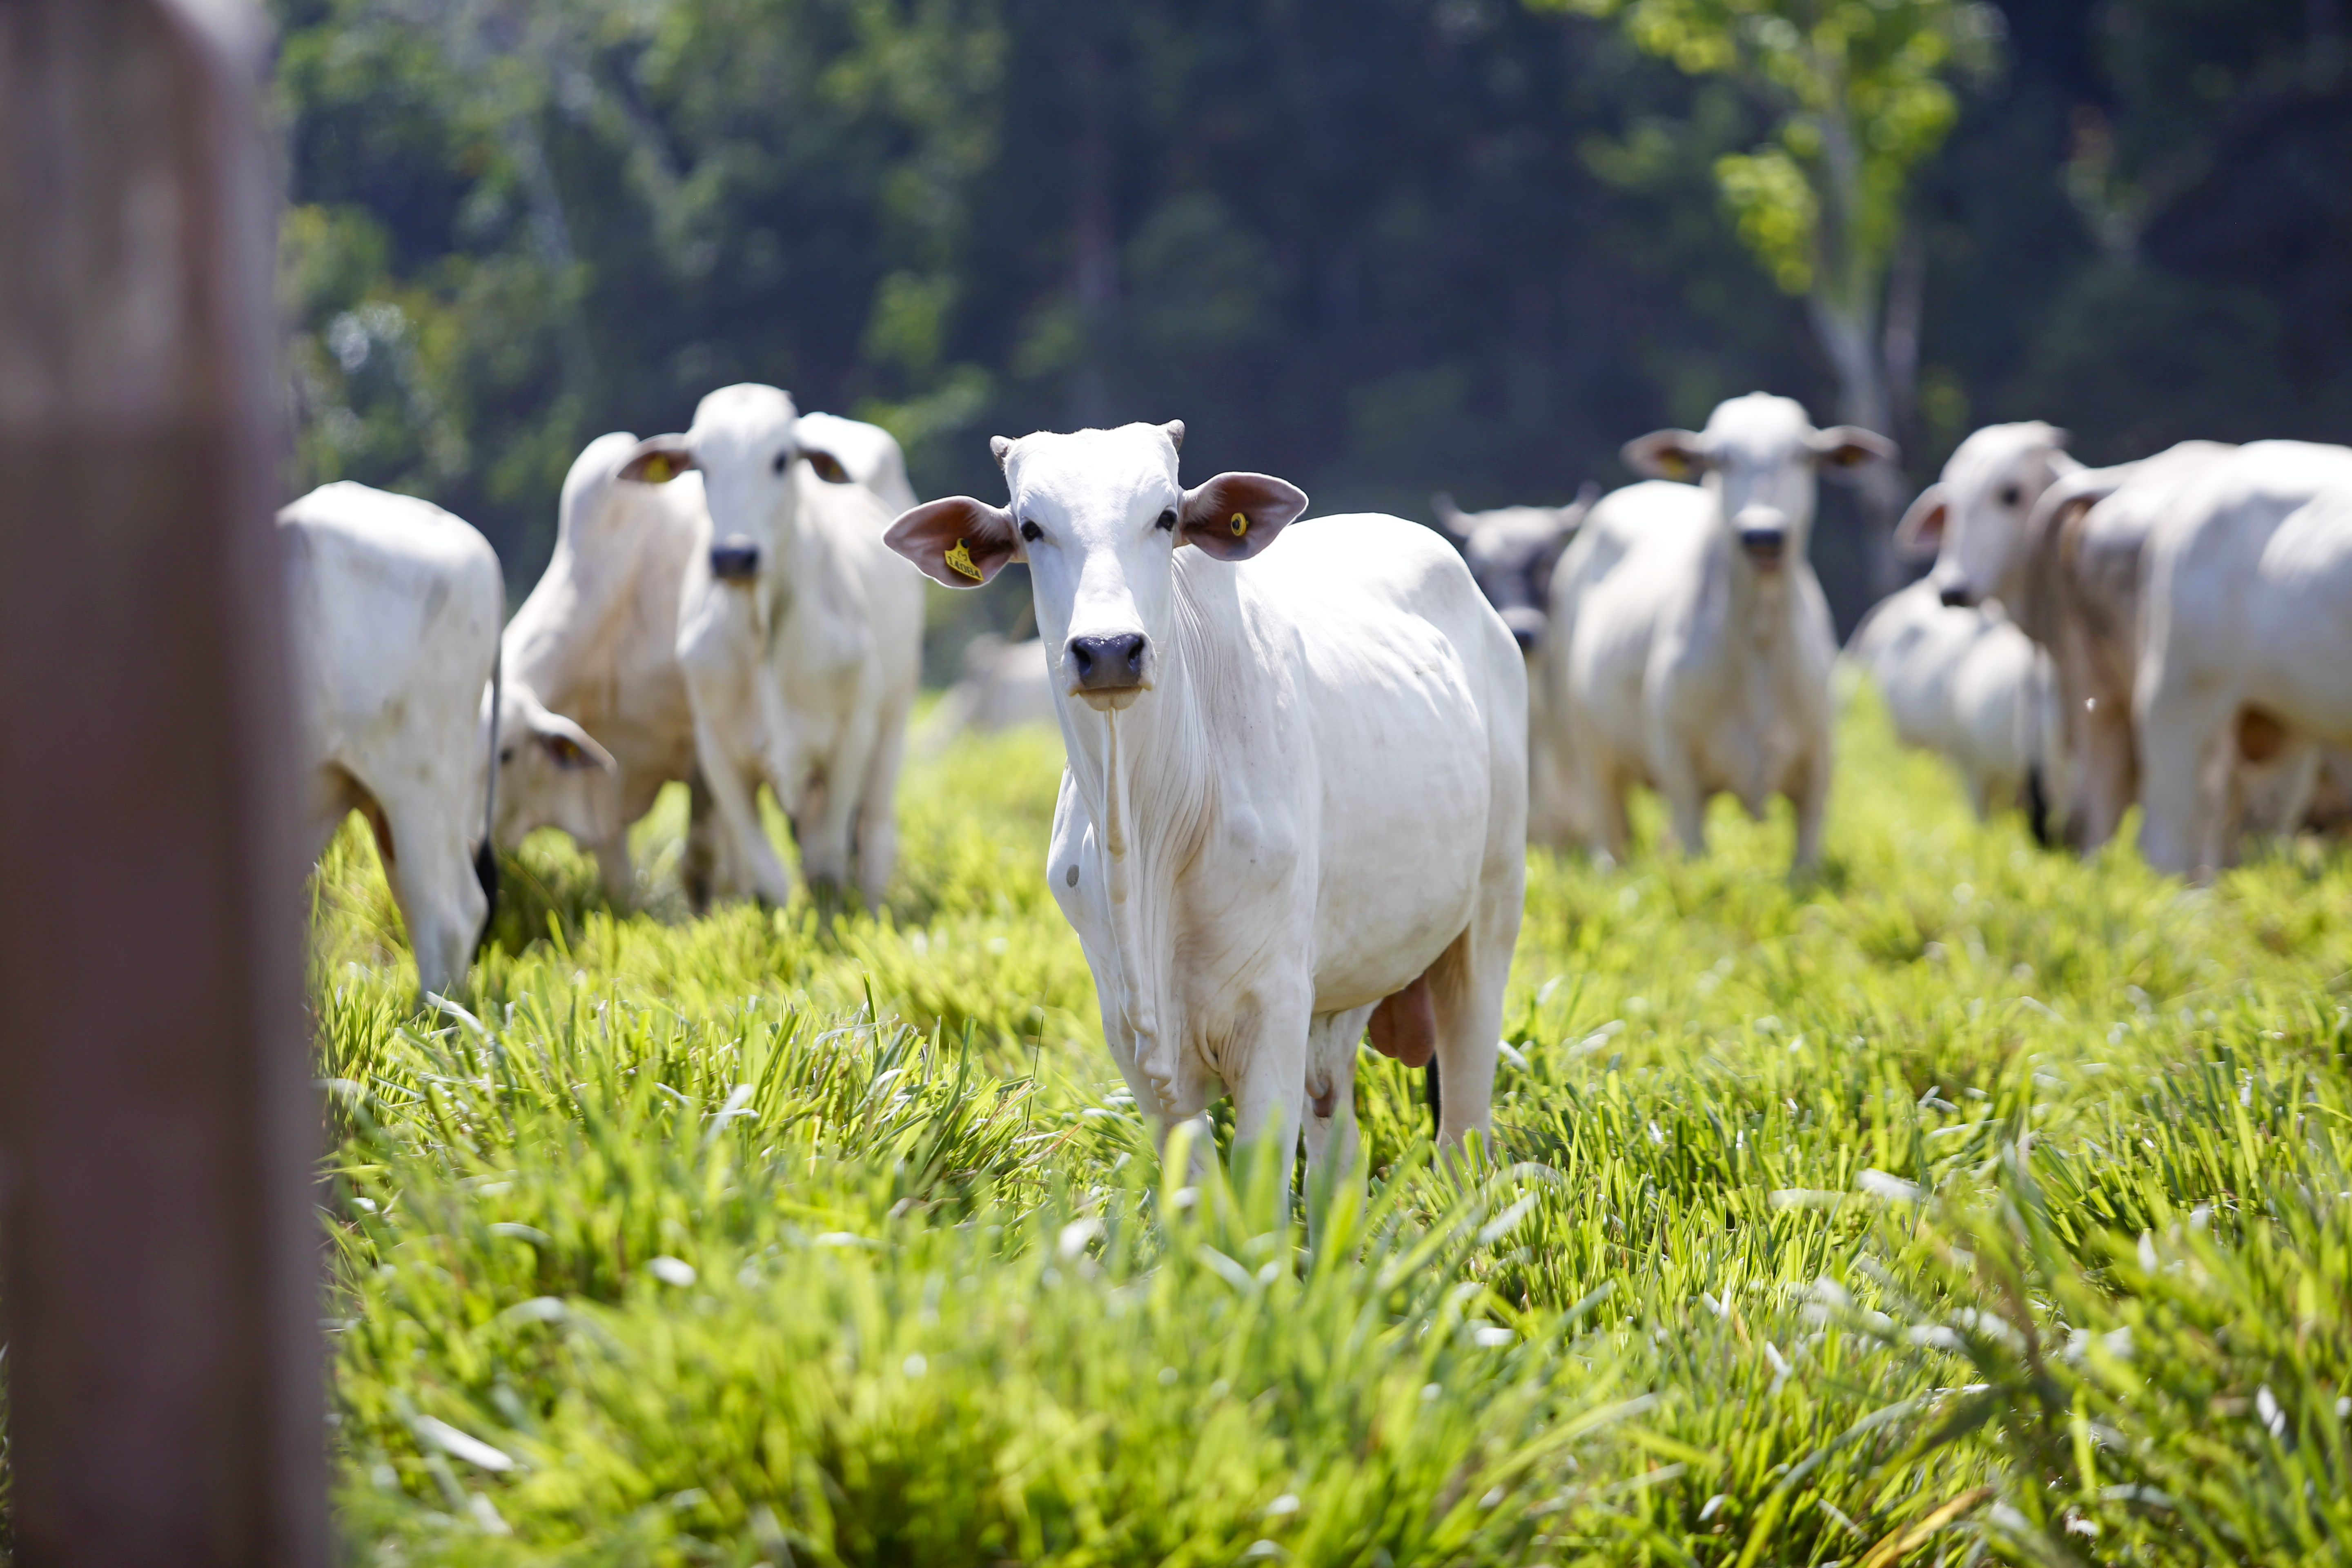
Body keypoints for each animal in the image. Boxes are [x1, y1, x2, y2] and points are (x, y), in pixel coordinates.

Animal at [622, 385, 925, 907]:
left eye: (782, 460)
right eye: (701, 463)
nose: (734, 556)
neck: (762, 625)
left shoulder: (851, 734)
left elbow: (826, 864)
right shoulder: (717, 748)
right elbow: (767, 877)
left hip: (895, 713)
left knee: (876, 833)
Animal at [882, 421, 1526, 1212]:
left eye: (1166, 517)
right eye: (1031, 527)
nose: (1108, 651)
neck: (1147, 835)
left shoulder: (1273, 1010)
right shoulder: (1136, 1039)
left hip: (1489, 916)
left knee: (1464, 1120)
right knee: (1336, 1131)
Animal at [1545, 392, 1896, 872]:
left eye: (1801, 455)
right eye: (1720, 459)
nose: (1763, 535)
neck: (1760, 638)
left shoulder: (1819, 764)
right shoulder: (1679, 763)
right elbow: (1694, 851)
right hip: (1589, 751)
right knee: (1611, 834)